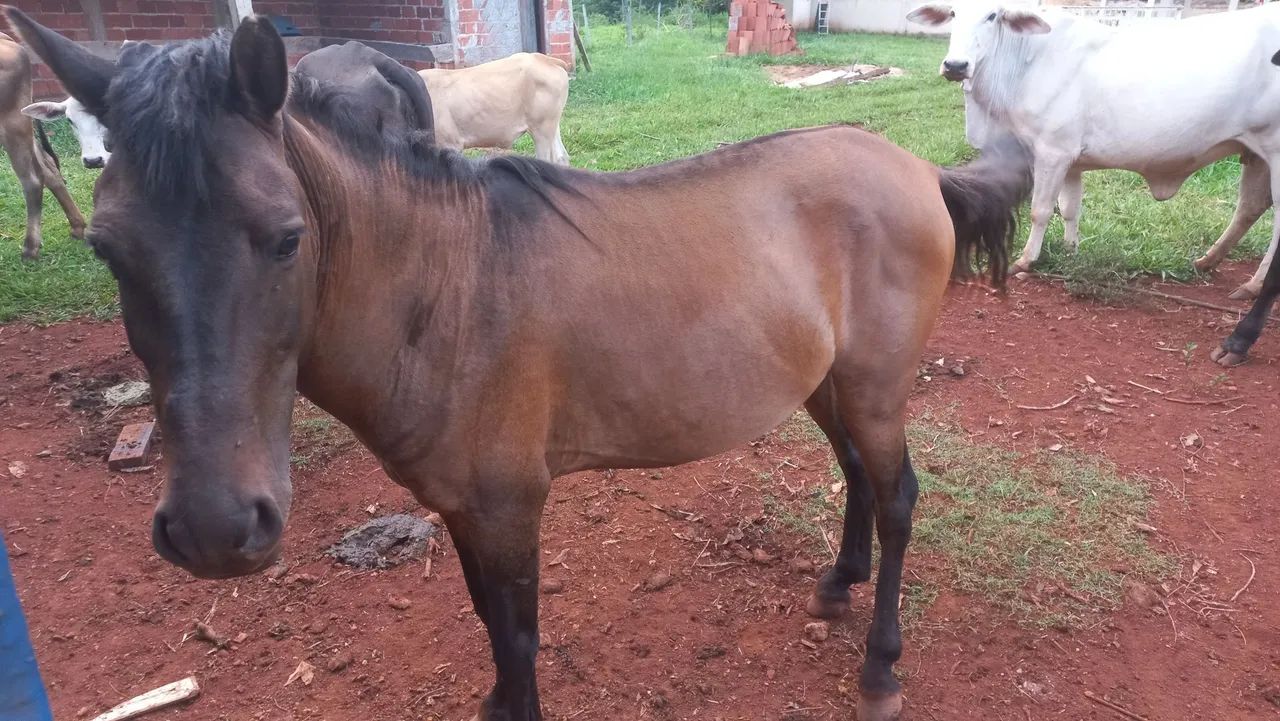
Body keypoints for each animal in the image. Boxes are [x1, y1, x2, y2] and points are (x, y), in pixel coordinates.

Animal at [4, 9, 1031, 720]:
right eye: (106, 248)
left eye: (287, 236)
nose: (216, 530)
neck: (449, 290)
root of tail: (917, 170)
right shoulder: (462, 505)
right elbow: (489, 628)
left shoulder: (509, 505)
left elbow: (520, 636)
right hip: (826, 382)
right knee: (856, 471)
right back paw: (837, 584)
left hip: (876, 385)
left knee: (897, 497)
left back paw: (881, 662)